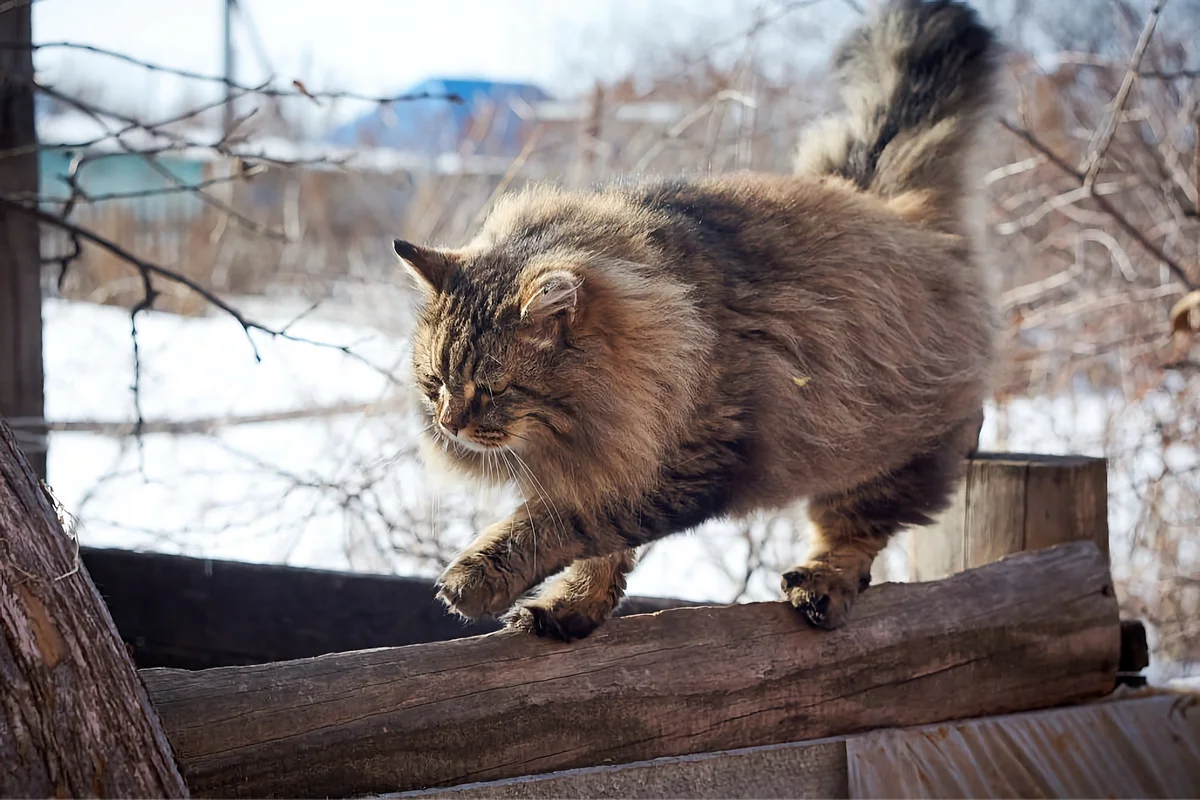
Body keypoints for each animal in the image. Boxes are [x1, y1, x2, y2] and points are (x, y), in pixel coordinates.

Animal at [396, 0, 1003, 642]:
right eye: (434, 386)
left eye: (492, 391)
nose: (449, 425)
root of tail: (885, 201)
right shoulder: (615, 459)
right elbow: (598, 551)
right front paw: (571, 608)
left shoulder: (682, 464)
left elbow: (560, 524)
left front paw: (474, 580)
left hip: (884, 446)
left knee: (853, 532)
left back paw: (821, 586)